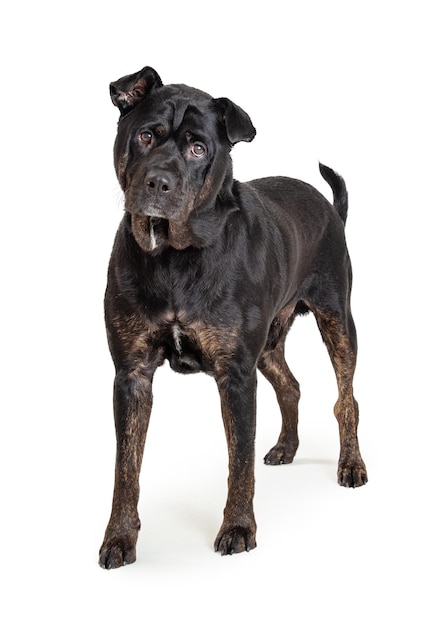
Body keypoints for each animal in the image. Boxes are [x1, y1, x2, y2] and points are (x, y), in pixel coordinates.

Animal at [100, 66, 370, 568]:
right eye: (146, 136)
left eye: (198, 148)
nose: (158, 183)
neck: (174, 258)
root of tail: (331, 208)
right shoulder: (132, 374)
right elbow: (126, 467)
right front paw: (120, 537)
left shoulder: (236, 374)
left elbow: (239, 459)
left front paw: (238, 528)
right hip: (268, 344)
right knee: (290, 384)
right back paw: (286, 447)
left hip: (337, 321)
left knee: (347, 400)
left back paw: (351, 464)